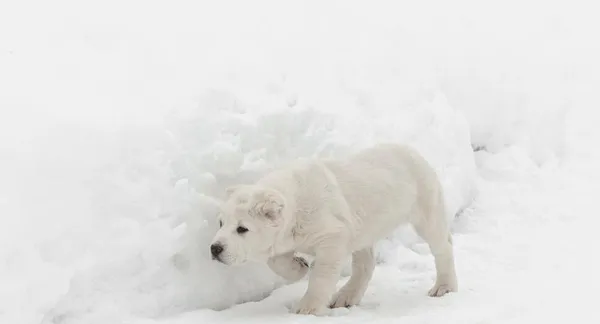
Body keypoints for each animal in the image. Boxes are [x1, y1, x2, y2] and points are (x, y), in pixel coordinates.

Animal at [211, 143, 460, 316]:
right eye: (221, 223)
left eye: (242, 229)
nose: (215, 248)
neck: (296, 205)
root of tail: (412, 150)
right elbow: (275, 260)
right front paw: (298, 267)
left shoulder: (333, 234)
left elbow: (322, 273)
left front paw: (307, 308)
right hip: (363, 228)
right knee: (365, 262)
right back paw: (346, 296)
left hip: (426, 201)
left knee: (442, 244)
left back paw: (444, 287)